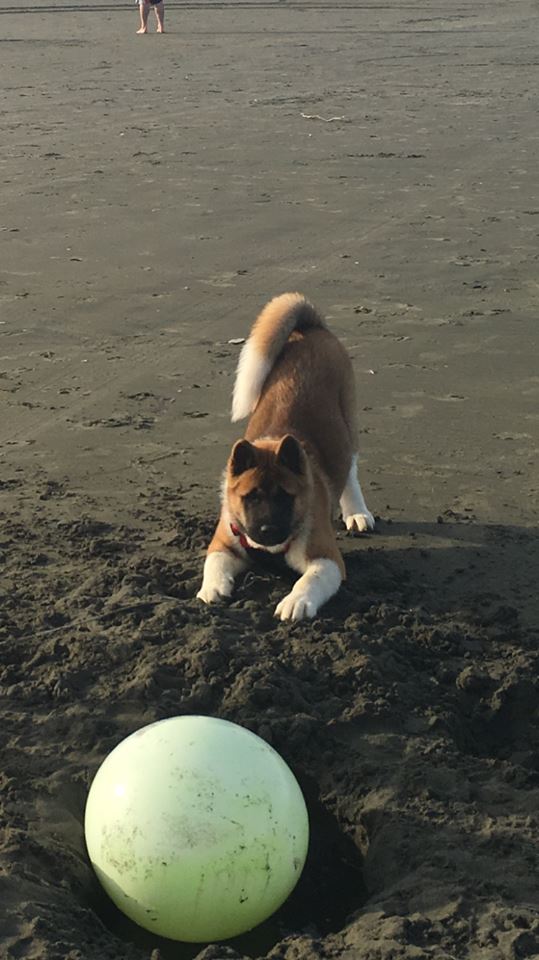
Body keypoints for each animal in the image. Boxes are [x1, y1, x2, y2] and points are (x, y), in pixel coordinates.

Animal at [197, 294, 376, 624]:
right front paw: (212, 588)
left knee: (350, 471)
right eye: (251, 497)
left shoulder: (326, 558)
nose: (267, 530)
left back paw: (357, 511)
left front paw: (296, 602)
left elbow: (310, 580)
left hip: (348, 420)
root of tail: (310, 327)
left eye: (285, 496)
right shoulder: (223, 542)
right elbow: (213, 563)